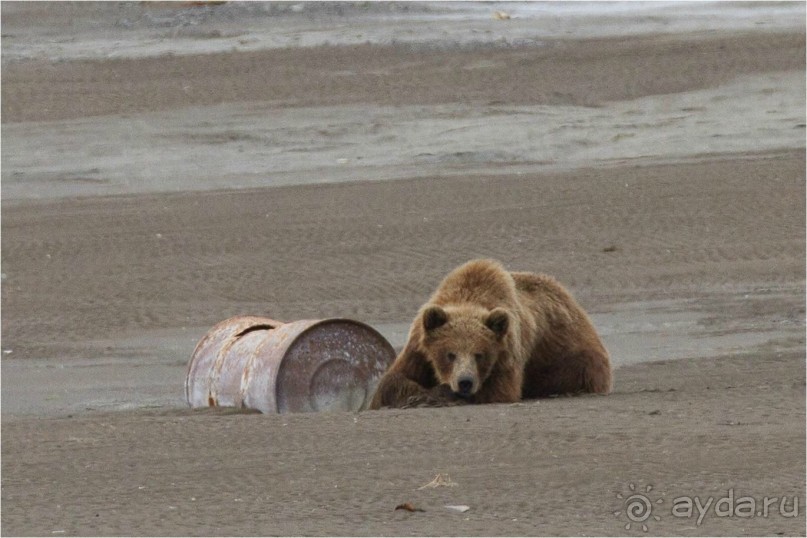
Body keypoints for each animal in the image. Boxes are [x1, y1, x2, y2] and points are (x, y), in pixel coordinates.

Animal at [370, 258, 608, 406]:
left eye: (479, 355)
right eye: (450, 354)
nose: (465, 382)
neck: (469, 297)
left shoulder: (507, 351)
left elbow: (500, 389)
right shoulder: (418, 348)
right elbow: (391, 383)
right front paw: (422, 396)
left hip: (570, 361)